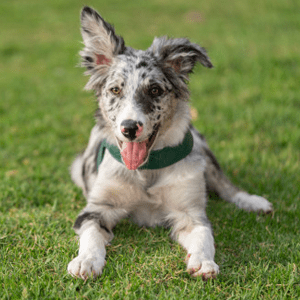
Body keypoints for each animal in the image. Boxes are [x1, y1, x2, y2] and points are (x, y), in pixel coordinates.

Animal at [67, 6, 272, 278]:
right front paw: (86, 261)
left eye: (155, 90)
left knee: (225, 185)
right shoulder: (96, 208)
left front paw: (204, 261)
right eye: (115, 90)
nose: (129, 128)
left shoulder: (189, 212)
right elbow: (90, 235)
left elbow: (204, 235)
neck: (147, 171)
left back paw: (253, 201)